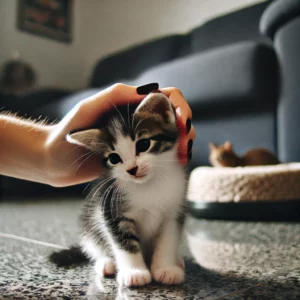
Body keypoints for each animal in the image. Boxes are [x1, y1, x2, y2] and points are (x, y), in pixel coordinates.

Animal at [49, 92, 188, 288]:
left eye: (144, 144)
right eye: (114, 158)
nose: (132, 169)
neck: (148, 184)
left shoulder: (174, 210)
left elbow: (168, 240)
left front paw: (166, 269)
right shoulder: (109, 206)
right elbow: (123, 242)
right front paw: (135, 273)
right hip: (89, 221)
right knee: (93, 243)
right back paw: (106, 263)